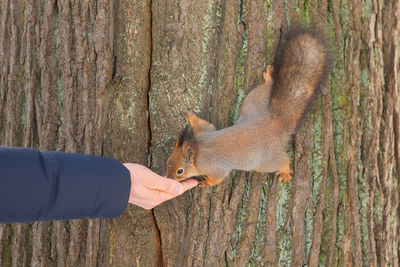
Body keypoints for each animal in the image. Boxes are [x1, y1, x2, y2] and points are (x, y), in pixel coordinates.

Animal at [165, 27, 328, 186]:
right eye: (168, 160)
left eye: (180, 171)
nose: (168, 178)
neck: (199, 149)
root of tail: (276, 122)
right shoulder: (206, 131)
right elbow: (202, 123)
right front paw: (189, 115)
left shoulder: (215, 168)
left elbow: (217, 179)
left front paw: (205, 183)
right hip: (253, 102)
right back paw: (269, 78)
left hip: (267, 161)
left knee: (283, 160)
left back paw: (286, 171)